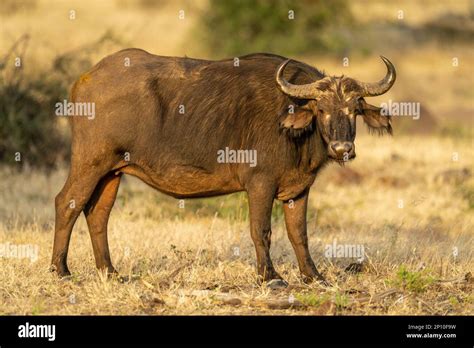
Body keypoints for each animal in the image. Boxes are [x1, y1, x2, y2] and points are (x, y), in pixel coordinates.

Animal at [51, 49, 396, 286]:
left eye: (353, 110)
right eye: (321, 109)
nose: (342, 148)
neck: (292, 125)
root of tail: (84, 81)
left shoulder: (298, 189)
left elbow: (300, 233)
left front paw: (314, 276)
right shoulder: (260, 184)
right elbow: (261, 230)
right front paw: (270, 276)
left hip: (113, 172)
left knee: (97, 213)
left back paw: (110, 272)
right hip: (89, 163)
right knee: (67, 203)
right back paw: (61, 270)